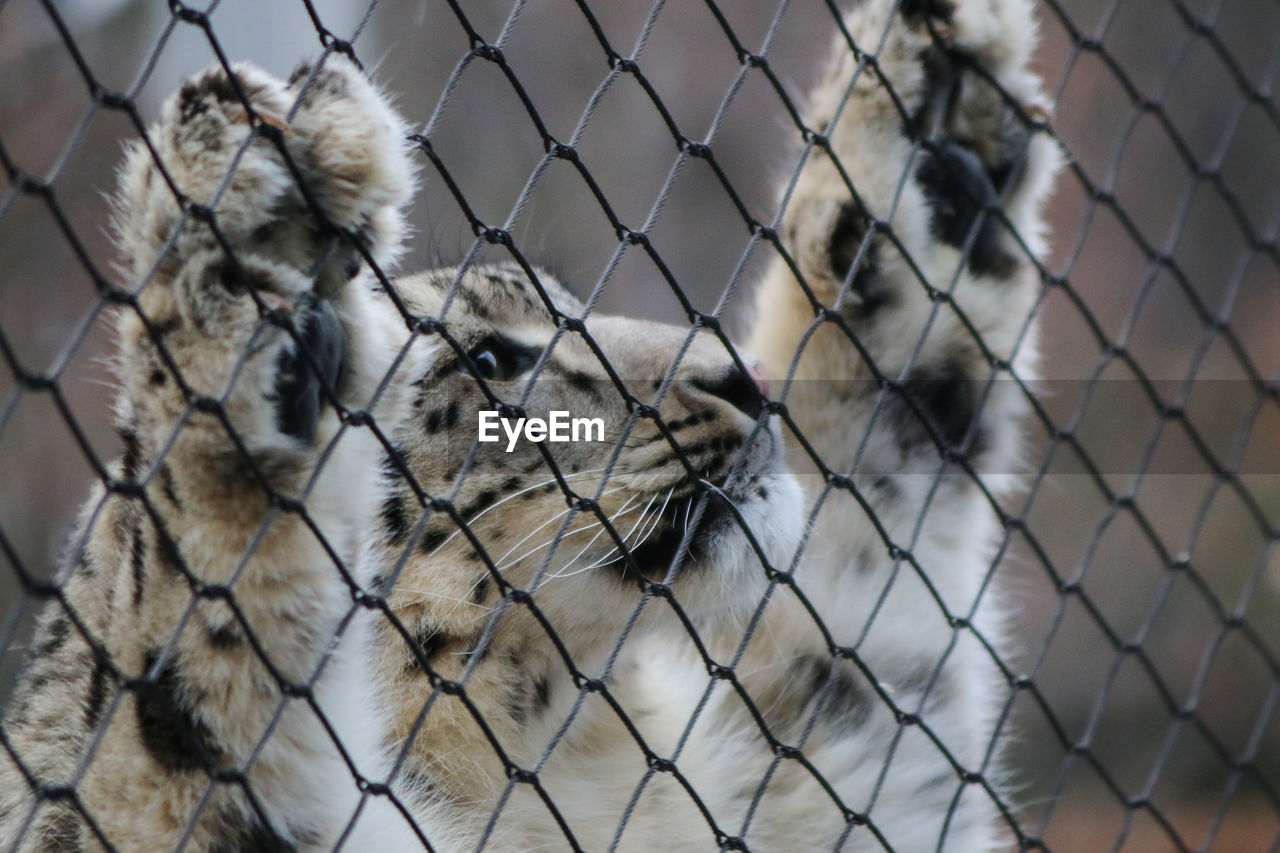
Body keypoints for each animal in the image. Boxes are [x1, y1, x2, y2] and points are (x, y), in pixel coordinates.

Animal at [0, 0, 1059, 845]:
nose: (747, 378)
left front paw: (936, 123)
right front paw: (247, 229)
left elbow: (865, 592)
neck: (566, 761)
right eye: (487, 361)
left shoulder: (808, 754)